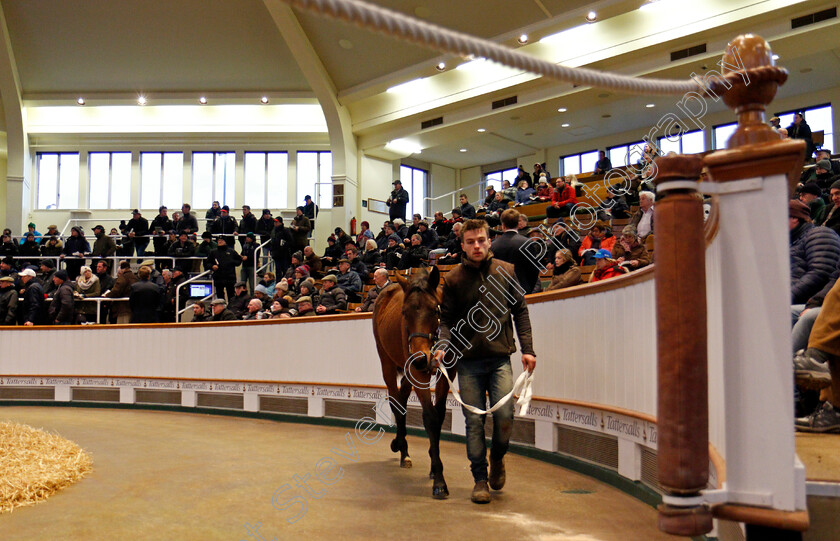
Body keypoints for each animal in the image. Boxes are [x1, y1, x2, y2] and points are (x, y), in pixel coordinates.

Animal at [374, 266, 452, 498]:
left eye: (435, 310)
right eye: (404, 313)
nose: (420, 358)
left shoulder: (447, 372)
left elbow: (439, 414)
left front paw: (434, 465)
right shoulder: (418, 374)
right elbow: (430, 417)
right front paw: (439, 479)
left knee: (402, 400)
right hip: (388, 364)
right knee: (396, 402)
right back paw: (402, 450)